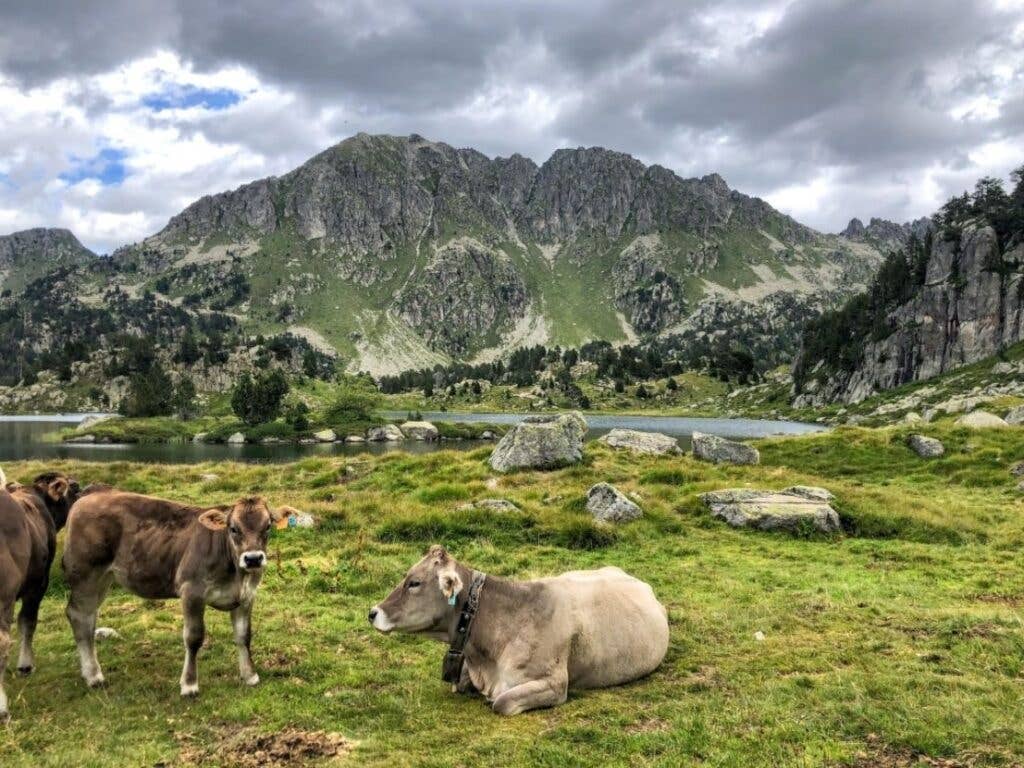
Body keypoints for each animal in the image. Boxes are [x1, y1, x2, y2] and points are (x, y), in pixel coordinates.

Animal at [60, 493, 284, 696]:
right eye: (233, 528)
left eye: (268, 526)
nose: (253, 559)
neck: (236, 576)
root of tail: (86, 499)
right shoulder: (191, 591)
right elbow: (194, 637)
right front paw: (189, 685)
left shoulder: (246, 596)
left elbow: (244, 636)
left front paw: (250, 676)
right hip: (85, 574)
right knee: (79, 615)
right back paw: (94, 676)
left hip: (103, 578)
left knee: (89, 617)